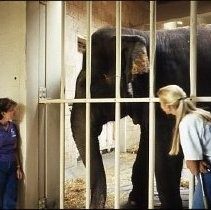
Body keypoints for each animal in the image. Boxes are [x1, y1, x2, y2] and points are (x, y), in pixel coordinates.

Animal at [70, 26, 211, 208]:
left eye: (91, 87)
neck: (139, 34)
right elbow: (148, 142)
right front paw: (135, 201)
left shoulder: (169, 86)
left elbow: (165, 151)